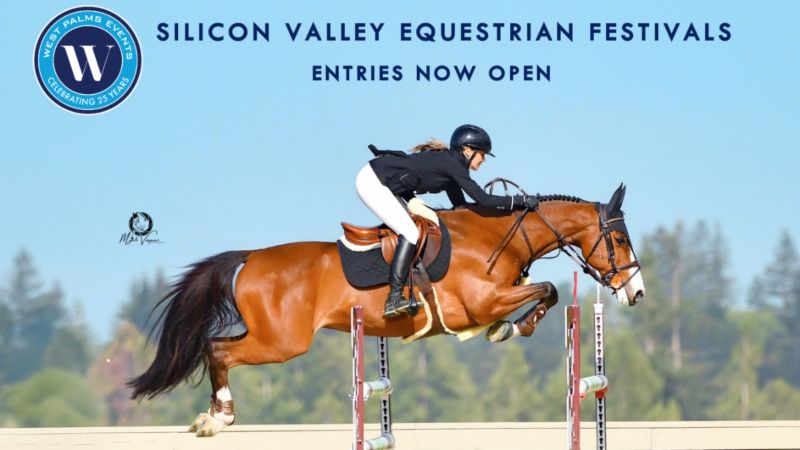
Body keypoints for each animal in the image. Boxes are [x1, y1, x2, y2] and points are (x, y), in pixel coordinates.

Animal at [127, 183, 646, 436]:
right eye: (619, 239)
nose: (636, 293)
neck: (496, 236)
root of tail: (251, 257)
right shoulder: (477, 303)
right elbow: (547, 290)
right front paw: (509, 330)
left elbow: (546, 292)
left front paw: (508, 329)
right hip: (282, 341)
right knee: (218, 350)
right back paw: (218, 418)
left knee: (217, 349)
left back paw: (210, 416)